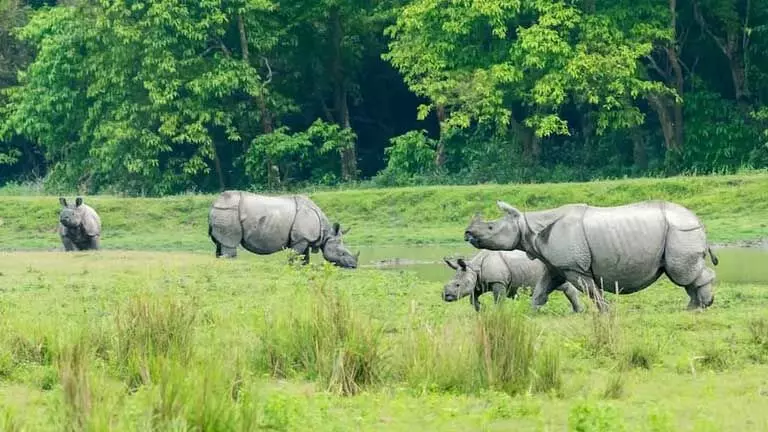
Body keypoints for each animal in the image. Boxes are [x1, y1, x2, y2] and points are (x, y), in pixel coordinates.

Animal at [444, 248, 584, 312]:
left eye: (457, 285)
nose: (446, 296)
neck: (474, 267)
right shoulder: (480, 282)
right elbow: (472, 298)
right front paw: (481, 309)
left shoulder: (498, 281)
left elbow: (498, 299)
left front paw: (498, 312)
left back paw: (577, 311)